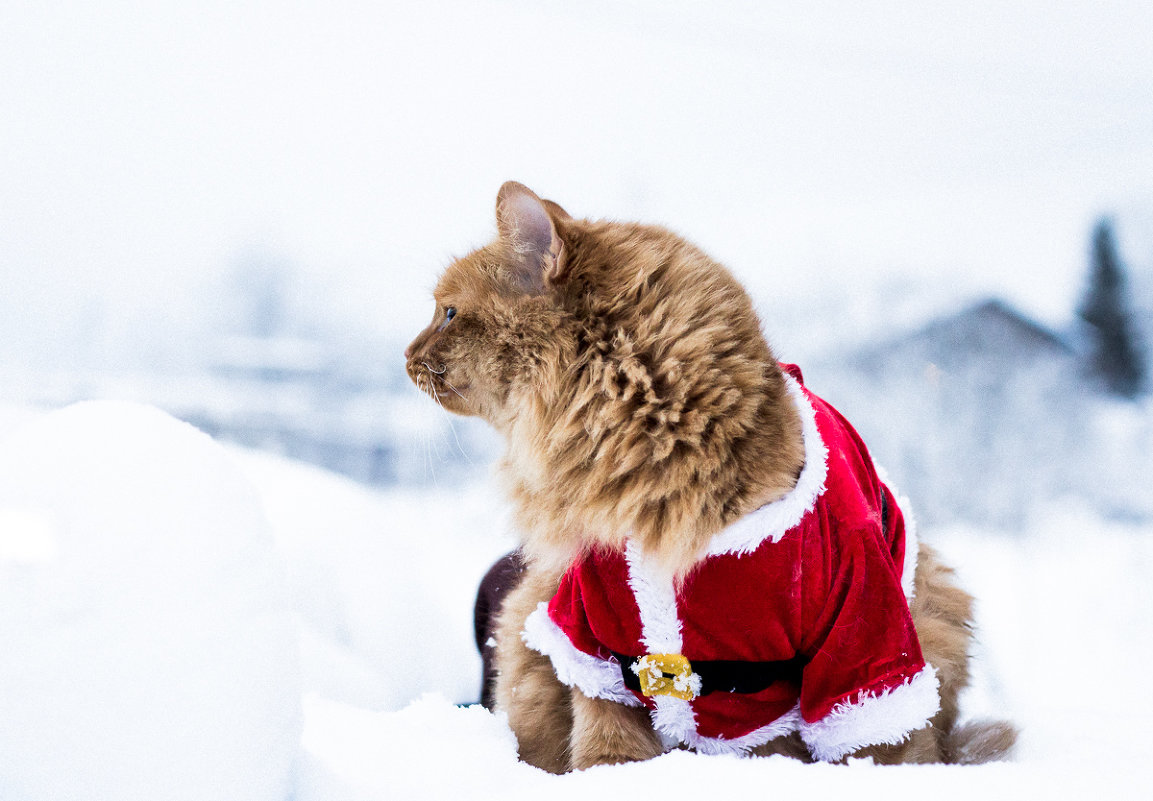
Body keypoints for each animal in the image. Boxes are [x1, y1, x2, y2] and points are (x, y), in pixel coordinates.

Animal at [405, 179, 1019, 769]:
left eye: (448, 314)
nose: (406, 355)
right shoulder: (595, 628)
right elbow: (606, 736)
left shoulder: (864, 636)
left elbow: (874, 746)